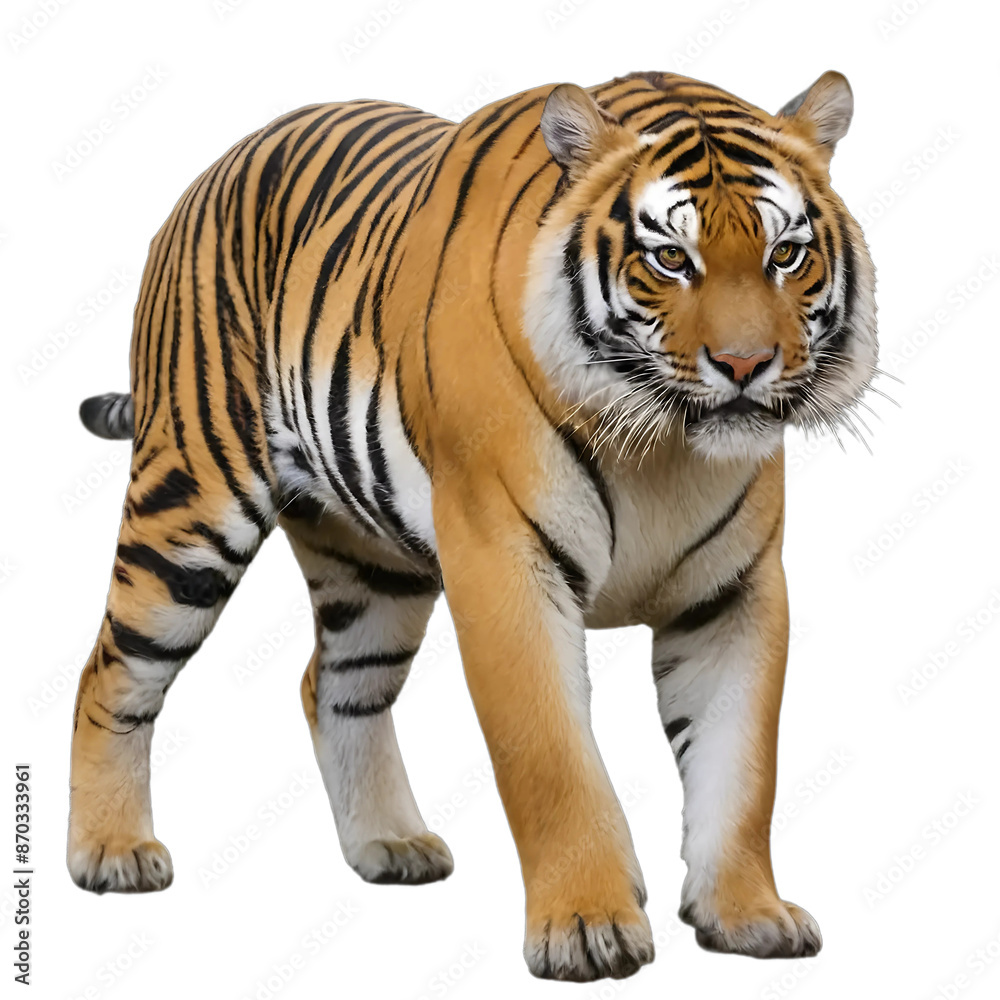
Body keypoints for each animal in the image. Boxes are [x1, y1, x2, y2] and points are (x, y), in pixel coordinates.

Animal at [68, 69, 877, 982]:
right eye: (671, 258)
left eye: (787, 255)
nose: (745, 367)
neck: (662, 448)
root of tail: (217, 167)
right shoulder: (504, 562)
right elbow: (551, 756)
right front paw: (587, 928)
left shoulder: (735, 594)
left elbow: (741, 771)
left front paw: (747, 917)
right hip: (191, 504)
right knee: (109, 670)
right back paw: (111, 854)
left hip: (374, 571)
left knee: (334, 685)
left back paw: (389, 843)